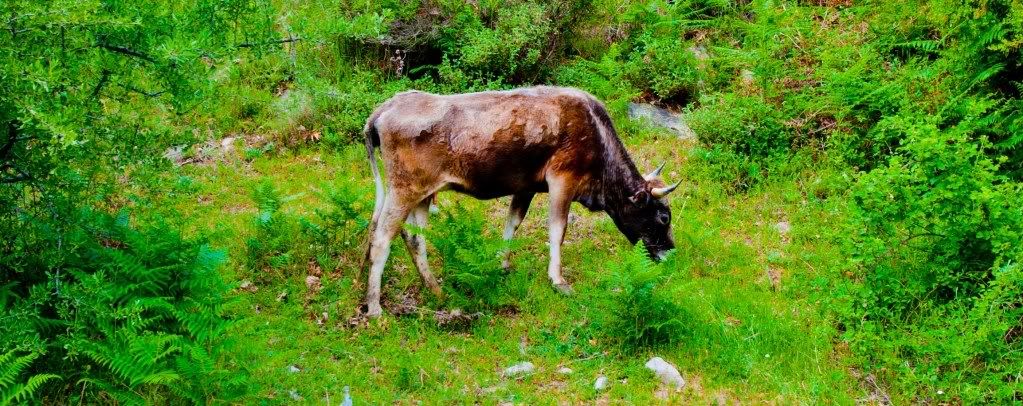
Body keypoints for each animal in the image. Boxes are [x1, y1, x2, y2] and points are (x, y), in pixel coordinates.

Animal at [366, 85, 679, 317]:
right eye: (663, 217)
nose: (670, 253)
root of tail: (385, 108)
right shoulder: (562, 178)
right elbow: (557, 229)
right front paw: (558, 280)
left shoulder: (526, 186)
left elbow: (512, 222)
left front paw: (502, 264)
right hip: (403, 189)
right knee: (381, 238)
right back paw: (375, 308)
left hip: (423, 195)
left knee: (414, 238)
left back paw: (436, 291)